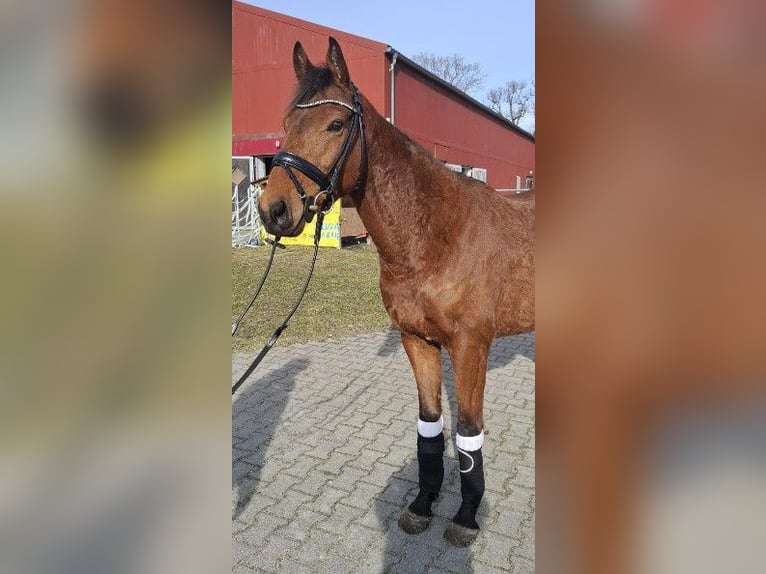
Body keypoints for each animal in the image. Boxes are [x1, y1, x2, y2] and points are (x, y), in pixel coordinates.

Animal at [257, 37, 534, 546]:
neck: (437, 234)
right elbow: (430, 426)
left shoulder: (471, 347)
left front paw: (466, 516)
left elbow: (469, 431)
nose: (275, 210)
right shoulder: (417, 340)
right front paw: (423, 504)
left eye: (336, 123)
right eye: (286, 126)